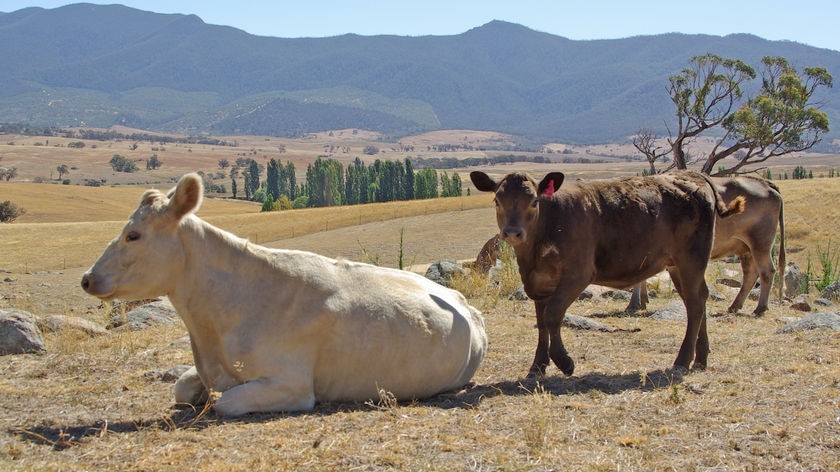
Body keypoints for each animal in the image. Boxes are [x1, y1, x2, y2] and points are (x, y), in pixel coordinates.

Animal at [82, 173, 488, 416]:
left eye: (133, 235)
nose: (87, 278)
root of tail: (463, 302)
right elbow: (181, 387)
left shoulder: (291, 385)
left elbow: (224, 403)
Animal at [470, 171, 744, 376]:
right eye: (497, 201)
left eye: (534, 201)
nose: (512, 232)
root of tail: (693, 175)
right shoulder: (539, 281)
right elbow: (541, 322)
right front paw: (537, 366)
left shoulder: (578, 273)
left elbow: (553, 315)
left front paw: (564, 362)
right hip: (678, 264)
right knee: (698, 298)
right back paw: (701, 359)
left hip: (691, 258)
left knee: (695, 303)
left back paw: (682, 360)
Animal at [632, 177, 788, 318]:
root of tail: (765, 183)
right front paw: (642, 301)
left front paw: (635, 303)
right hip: (746, 248)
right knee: (750, 274)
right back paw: (735, 306)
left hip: (760, 243)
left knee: (767, 271)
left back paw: (760, 308)